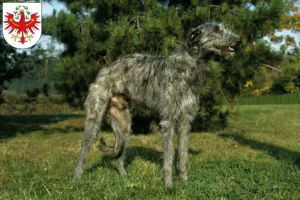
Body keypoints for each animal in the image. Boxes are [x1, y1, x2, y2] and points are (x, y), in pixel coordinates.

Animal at [74, 22, 240, 189]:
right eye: (217, 30)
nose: (238, 40)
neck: (187, 66)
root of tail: (104, 69)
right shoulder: (168, 120)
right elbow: (169, 154)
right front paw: (169, 185)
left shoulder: (185, 119)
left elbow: (183, 153)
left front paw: (184, 181)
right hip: (94, 119)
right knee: (83, 151)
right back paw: (76, 179)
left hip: (124, 124)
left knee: (118, 157)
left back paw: (125, 179)